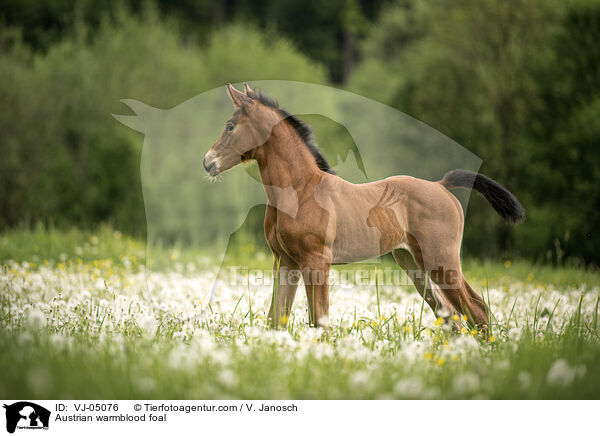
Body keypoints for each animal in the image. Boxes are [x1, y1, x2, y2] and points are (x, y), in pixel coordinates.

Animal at [204, 84, 524, 330]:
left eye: (230, 126)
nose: (208, 162)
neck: (300, 190)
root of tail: (441, 185)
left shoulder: (316, 261)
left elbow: (319, 320)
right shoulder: (285, 262)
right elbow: (276, 319)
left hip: (442, 261)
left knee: (476, 310)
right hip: (414, 264)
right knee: (452, 316)